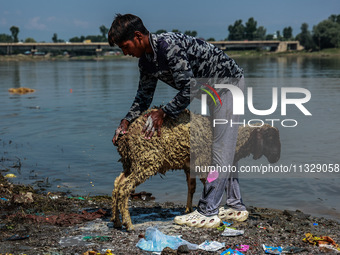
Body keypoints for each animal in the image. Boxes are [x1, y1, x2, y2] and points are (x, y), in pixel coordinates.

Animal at [113, 108, 280, 230]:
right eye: (270, 138)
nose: (277, 158)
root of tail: (125, 137)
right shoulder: (205, 163)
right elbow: (209, 187)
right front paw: (209, 213)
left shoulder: (190, 165)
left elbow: (191, 187)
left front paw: (188, 209)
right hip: (145, 160)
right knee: (125, 188)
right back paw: (128, 224)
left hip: (130, 163)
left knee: (117, 185)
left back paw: (116, 221)